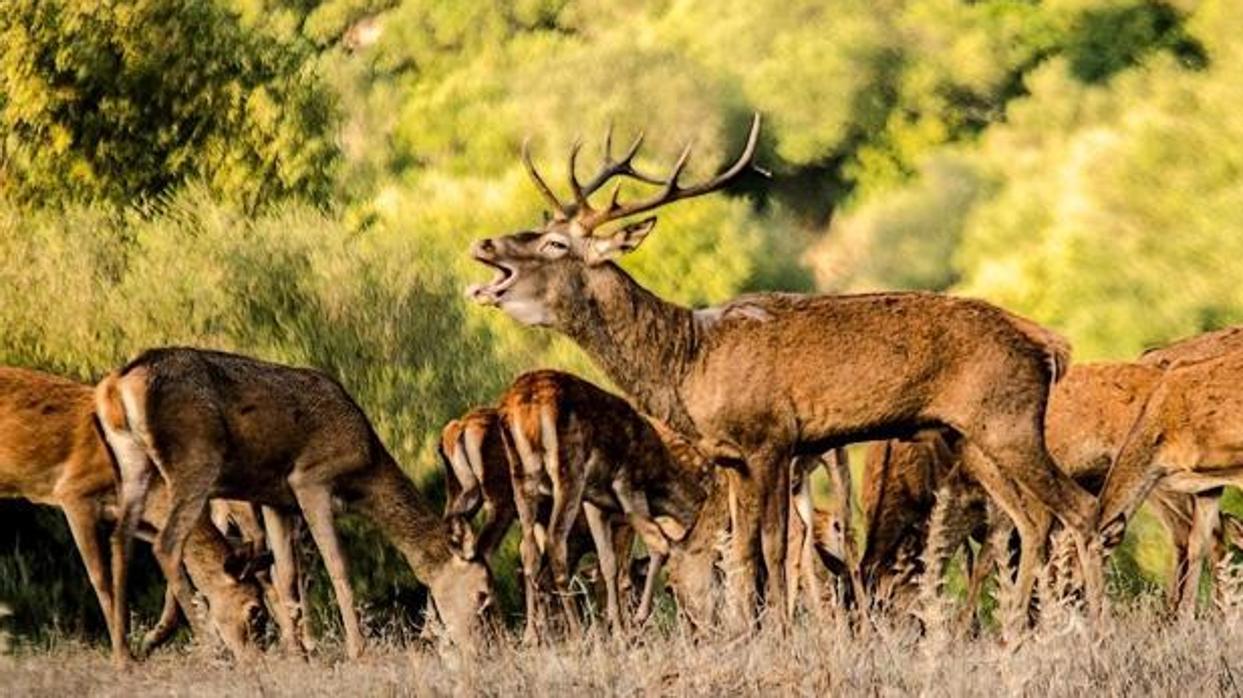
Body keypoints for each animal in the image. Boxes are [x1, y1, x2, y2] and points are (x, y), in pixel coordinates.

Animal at [0, 365, 267, 655]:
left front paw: (152, 640)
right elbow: (102, 581)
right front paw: (125, 656)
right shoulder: (74, 493)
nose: (258, 658)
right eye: (254, 611)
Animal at [98, 345, 494, 665]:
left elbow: (286, 573)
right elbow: (337, 564)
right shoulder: (310, 479)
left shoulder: (276, 500)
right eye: (482, 593)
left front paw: (299, 651)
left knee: (120, 540)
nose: (482, 648)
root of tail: (116, 387)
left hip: (132, 464)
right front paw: (358, 651)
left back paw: (124, 653)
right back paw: (210, 647)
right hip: (195, 461)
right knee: (166, 544)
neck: (364, 474)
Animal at [494, 370, 710, 640]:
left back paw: (531, 636)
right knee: (556, 543)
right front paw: (636, 620)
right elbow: (657, 543)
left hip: (522, 480)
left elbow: (608, 564)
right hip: (568, 471)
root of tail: (523, 409)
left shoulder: (596, 503)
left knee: (529, 552)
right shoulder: (627, 485)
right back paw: (578, 633)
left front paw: (617, 630)